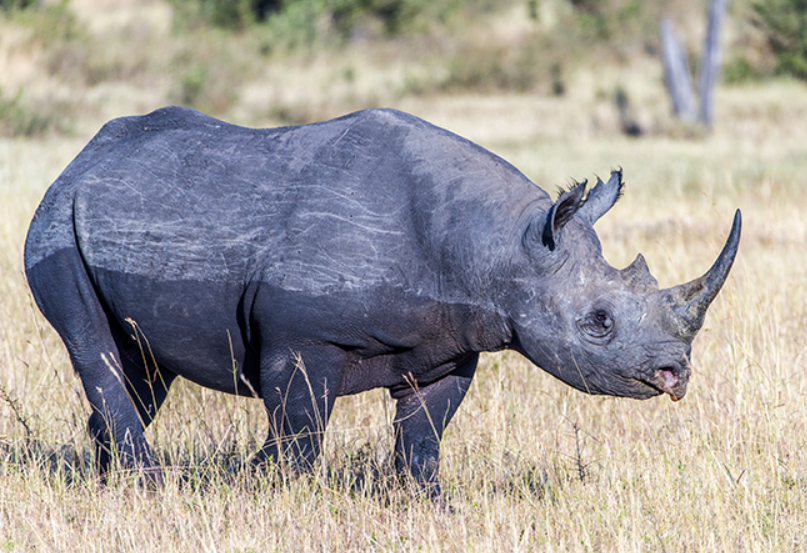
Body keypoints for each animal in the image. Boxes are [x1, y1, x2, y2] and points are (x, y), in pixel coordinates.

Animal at [24, 107, 741, 492]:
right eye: (598, 323)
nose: (674, 376)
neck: (503, 248)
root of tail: (81, 157)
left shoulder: (450, 343)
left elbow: (425, 433)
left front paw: (426, 504)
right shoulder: (302, 334)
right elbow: (300, 430)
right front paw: (255, 488)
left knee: (144, 365)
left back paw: (108, 479)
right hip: (55, 222)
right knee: (94, 347)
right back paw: (148, 484)